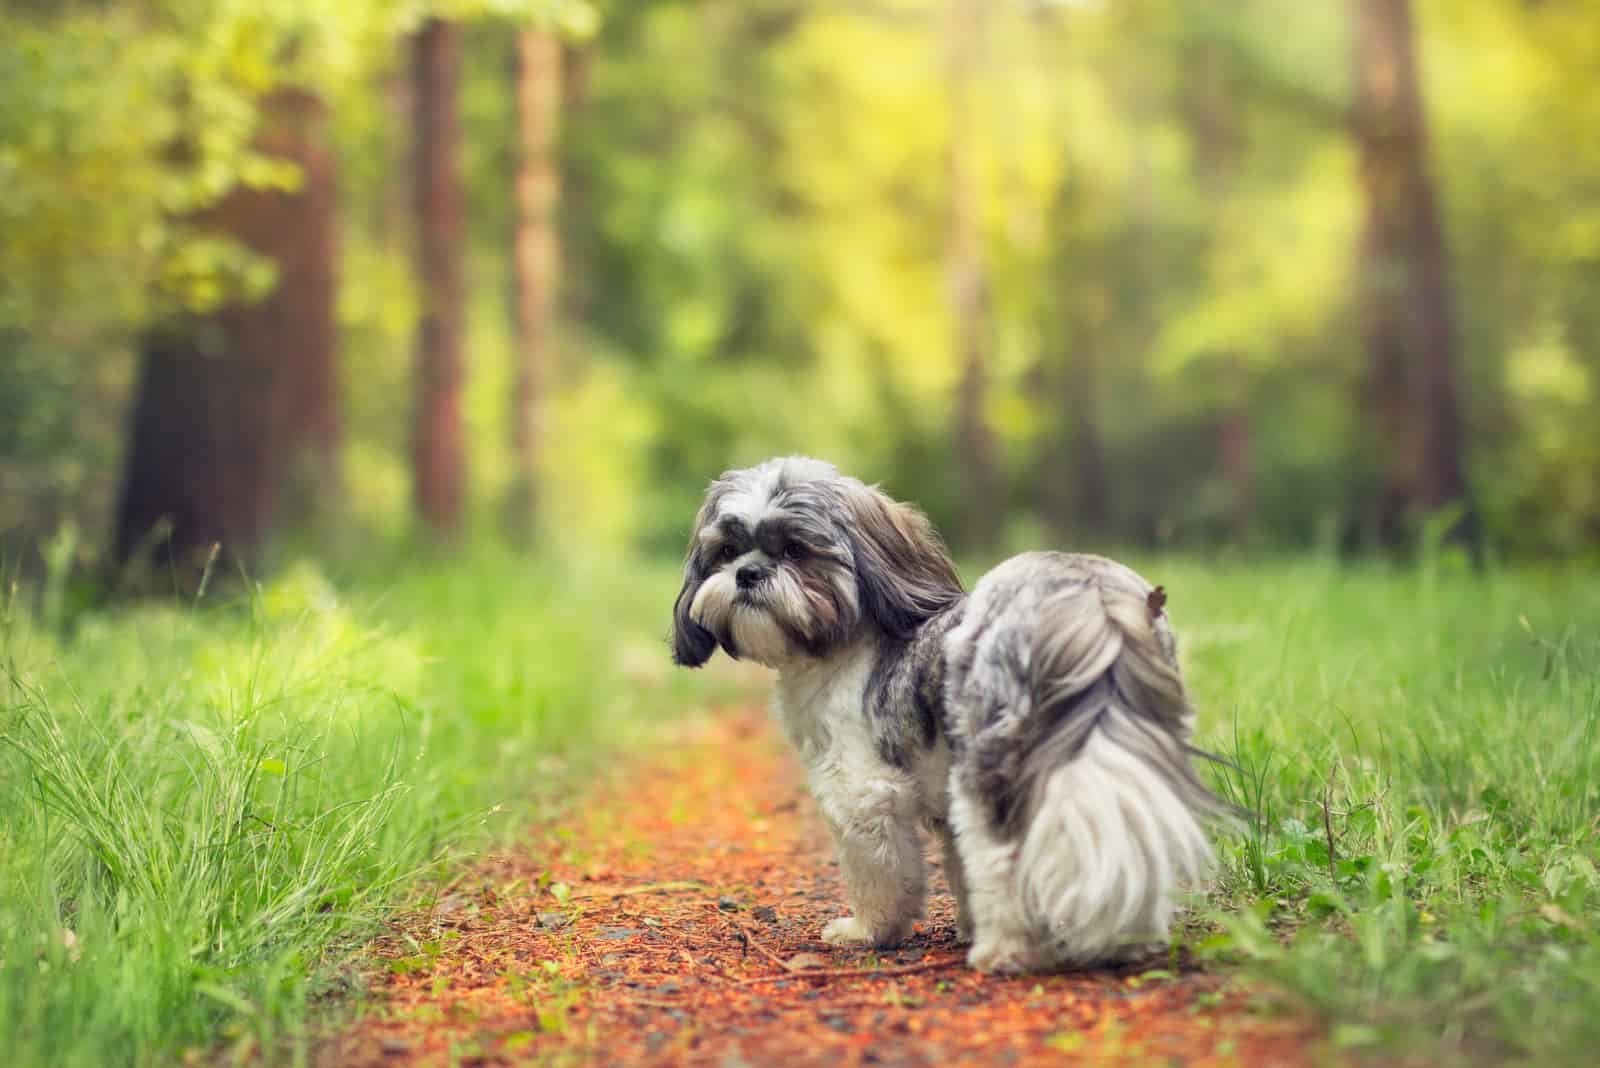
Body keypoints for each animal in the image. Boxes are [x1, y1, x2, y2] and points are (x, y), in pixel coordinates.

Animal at [668, 454, 1216, 972]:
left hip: (992, 766)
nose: (747, 573)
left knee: (1003, 857)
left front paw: (868, 930)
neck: (849, 641)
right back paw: (1125, 938)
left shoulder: (864, 793)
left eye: (794, 550)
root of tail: (1088, 596)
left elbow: (880, 874)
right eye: (727, 551)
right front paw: (966, 924)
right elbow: (959, 869)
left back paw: (1006, 952)